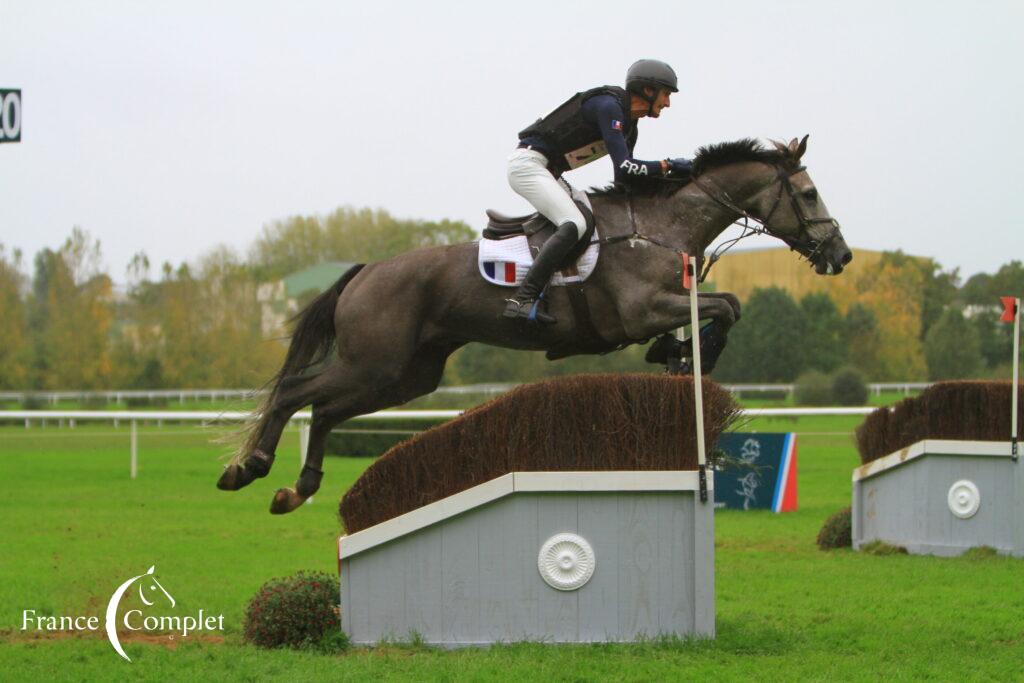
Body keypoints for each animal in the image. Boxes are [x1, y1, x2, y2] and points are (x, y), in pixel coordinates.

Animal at [220, 136, 851, 516]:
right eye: (809, 193)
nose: (840, 255)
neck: (657, 226)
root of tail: (366, 270)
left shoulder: (667, 302)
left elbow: (725, 306)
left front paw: (678, 359)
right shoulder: (643, 309)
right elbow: (725, 306)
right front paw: (690, 356)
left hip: (405, 376)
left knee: (325, 410)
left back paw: (295, 490)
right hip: (373, 362)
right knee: (294, 392)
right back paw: (247, 469)